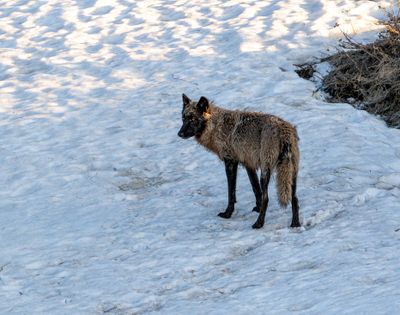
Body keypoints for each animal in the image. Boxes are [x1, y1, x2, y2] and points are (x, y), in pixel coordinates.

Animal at [178, 94, 300, 230]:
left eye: (192, 119)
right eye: (183, 118)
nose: (179, 134)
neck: (216, 126)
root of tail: (284, 131)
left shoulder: (230, 162)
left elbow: (231, 193)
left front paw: (227, 214)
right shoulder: (248, 164)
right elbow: (256, 189)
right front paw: (257, 208)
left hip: (266, 172)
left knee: (267, 198)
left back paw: (259, 224)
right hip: (291, 173)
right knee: (294, 198)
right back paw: (295, 224)